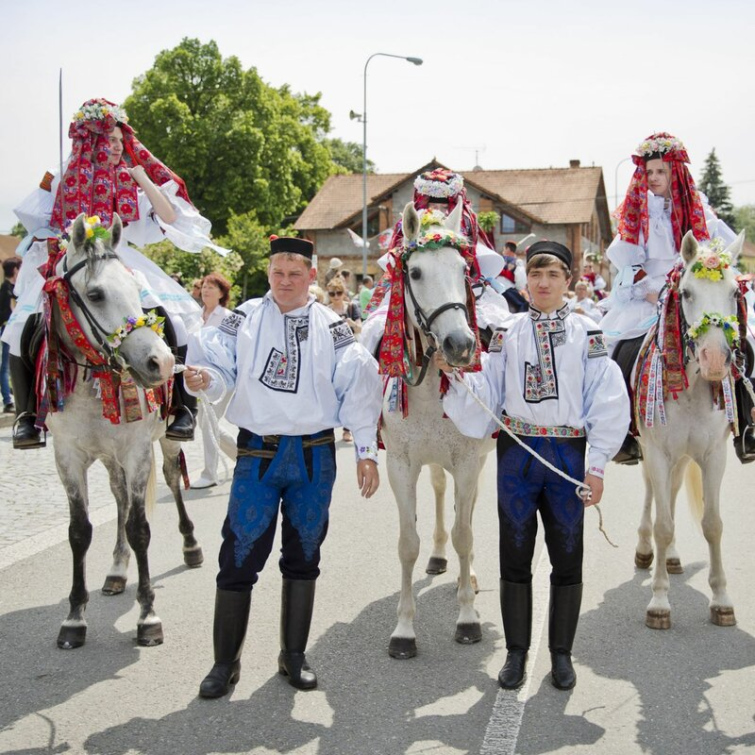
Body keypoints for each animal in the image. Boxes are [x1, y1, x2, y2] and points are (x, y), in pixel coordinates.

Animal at [41, 214, 201, 648]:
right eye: (95, 294)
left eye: (134, 288)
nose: (161, 362)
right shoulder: (68, 457)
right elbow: (80, 531)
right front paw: (74, 617)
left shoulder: (136, 451)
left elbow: (139, 528)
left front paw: (148, 617)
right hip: (109, 458)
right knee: (118, 497)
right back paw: (116, 569)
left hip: (162, 443)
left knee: (171, 481)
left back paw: (191, 546)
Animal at [380, 204, 500, 660]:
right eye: (414, 272)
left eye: (464, 269)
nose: (460, 345)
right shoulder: (400, 465)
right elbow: (407, 543)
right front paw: (403, 630)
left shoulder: (466, 461)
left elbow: (465, 534)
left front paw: (467, 619)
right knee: (437, 491)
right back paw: (437, 555)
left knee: (466, 512)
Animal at [636, 232, 748, 632]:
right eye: (685, 293)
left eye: (735, 291)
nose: (715, 359)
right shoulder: (657, 451)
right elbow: (663, 524)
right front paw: (658, 603)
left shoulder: (714, 455)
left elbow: (712, 524)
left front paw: (722, 600)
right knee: (655, 497)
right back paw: (646, 551)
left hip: (684, 457)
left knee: (671, 491)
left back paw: (669, 558)